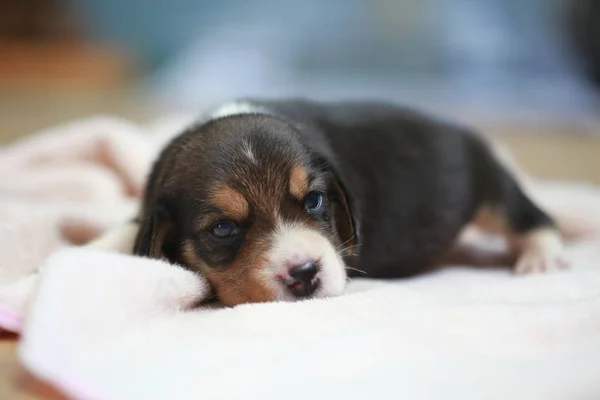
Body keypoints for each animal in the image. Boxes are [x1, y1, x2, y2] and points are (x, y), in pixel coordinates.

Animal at [129, 99, 564, 306]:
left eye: (314, 200)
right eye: (222, 229)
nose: (304, 273)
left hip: (490, 189)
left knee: (529, 214)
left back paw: (542, 257)